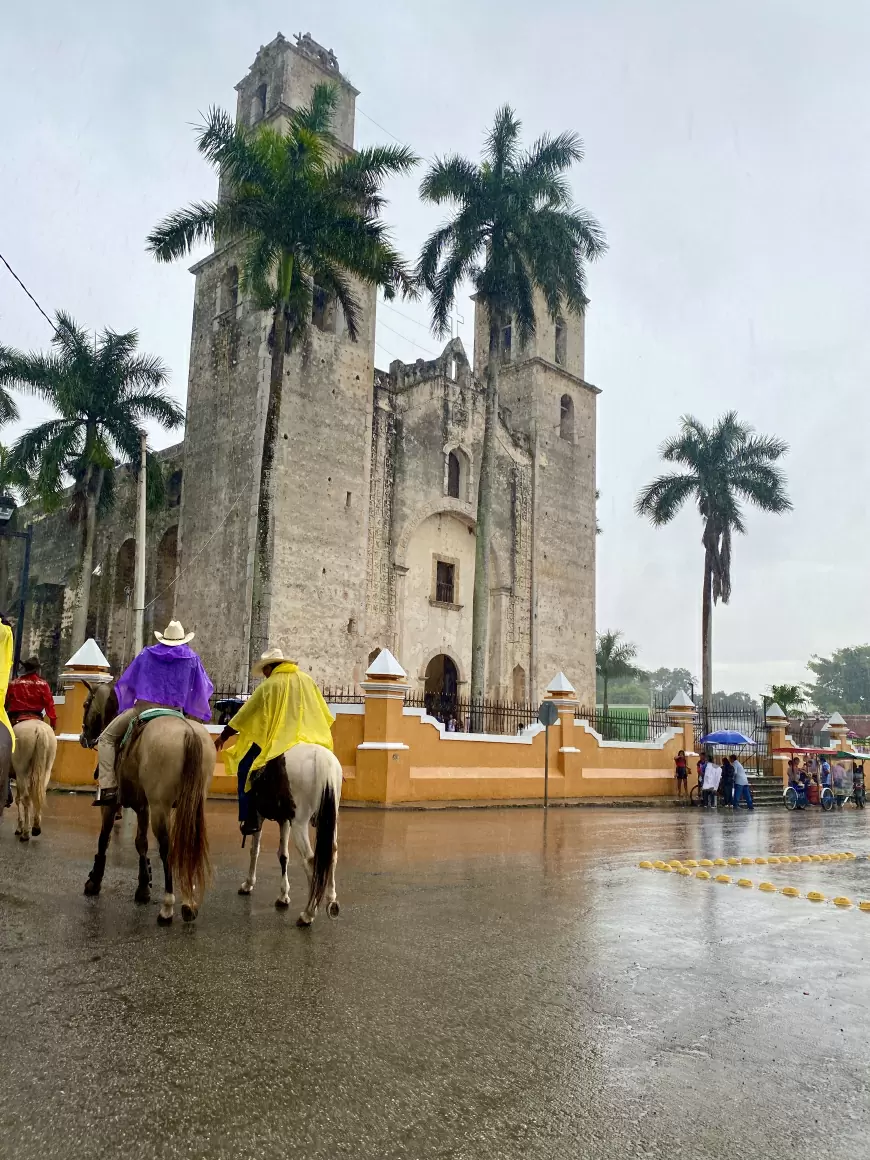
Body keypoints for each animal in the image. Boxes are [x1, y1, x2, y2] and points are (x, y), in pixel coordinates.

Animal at [80, 677, 216, 923]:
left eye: (86, 704)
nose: (83, 738)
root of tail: (188, 732)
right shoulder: (143, 805)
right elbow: (141, 843)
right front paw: (144, 886)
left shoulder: (113, 804)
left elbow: (104, 838)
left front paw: (94, 880)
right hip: (193, 803)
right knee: (189, 844)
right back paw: (189, 903)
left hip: (160, 806)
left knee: (167, 847)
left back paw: (168, 906)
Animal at [242, 742, 348, 923]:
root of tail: (321, 757)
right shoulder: (285, 819)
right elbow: (283, 855)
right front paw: (283, 895)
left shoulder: (260, 816)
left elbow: (254, 850)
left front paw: (248, 884)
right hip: (329, 819)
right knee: (332, 854)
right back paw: (331, 900)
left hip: (300, 823)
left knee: (310, 861)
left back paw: (308, 913)